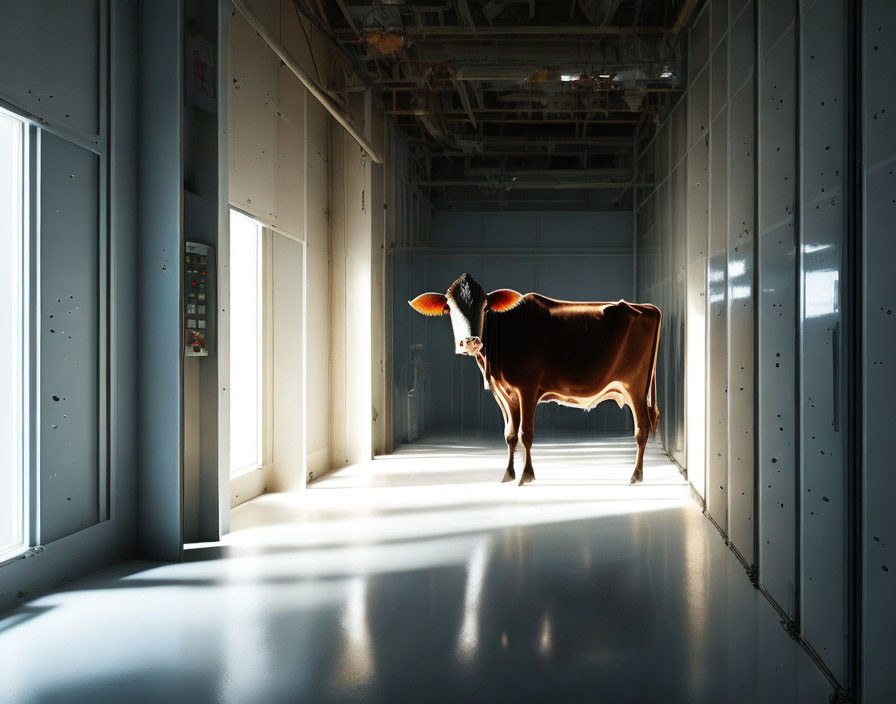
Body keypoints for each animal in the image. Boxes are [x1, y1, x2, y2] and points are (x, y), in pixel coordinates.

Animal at [410, 274, 660, 484]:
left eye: (485, 307)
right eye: (449, 307)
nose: (470, 341)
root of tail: (647, 307)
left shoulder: (527, 388)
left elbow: (526, 433)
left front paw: (526, 476)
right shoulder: (506, 393)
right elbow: (510, 435)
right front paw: (508, 474)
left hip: (635, 386)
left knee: (642, 429)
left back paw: (636, 475)